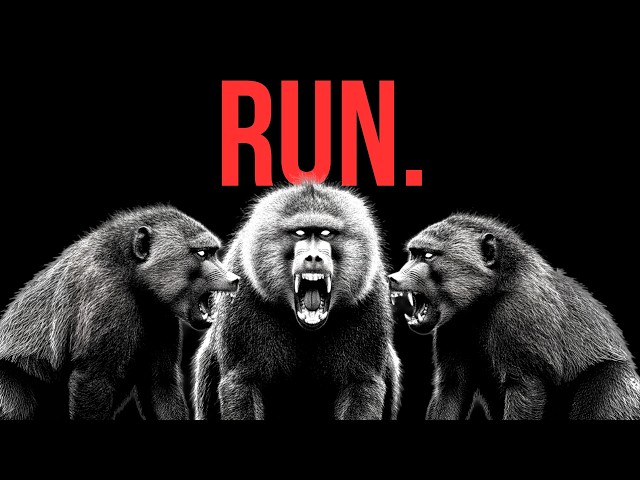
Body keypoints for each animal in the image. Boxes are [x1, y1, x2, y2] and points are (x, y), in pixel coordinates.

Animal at [0, 205, 239, 420]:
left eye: (213, 253)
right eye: (201, 253)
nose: (234, 279)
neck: (131, 274)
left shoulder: (162, 318)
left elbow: (160, 384)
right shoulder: (108, 301)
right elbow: (94, 380)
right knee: (15, 406)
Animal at [193, 183, 401, 420]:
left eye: (326, 233)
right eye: (300, 233)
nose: (313, 257)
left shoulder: (370, 297)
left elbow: (362, 385)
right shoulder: (241, 295)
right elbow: (242, 383)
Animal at [388, 213, 640, 420]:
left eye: (428, 255)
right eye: (413, 254)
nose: (393, 278)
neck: (488, 296)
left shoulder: (517, 313)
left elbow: (524, 388)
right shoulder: (453, 326)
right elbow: (452, 389)